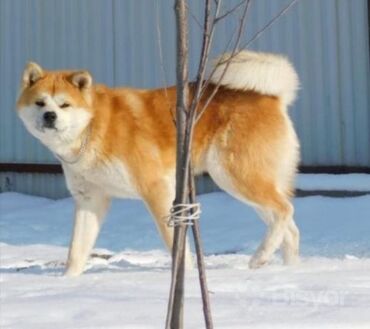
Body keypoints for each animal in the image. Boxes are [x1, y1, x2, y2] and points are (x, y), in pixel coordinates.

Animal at [16, 50, 300, 274]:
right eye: (40, 102)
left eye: (64, 105)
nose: (49, 116)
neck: (94, 126)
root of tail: (273, 97)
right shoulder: (90, 199)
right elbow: (76, 251)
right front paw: (68, 283)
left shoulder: (156, 189)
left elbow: (175, 244)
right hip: (249, 186)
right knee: (289, 228)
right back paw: (287, 269)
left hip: (235, 176)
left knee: (284, 210)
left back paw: (260, 256)